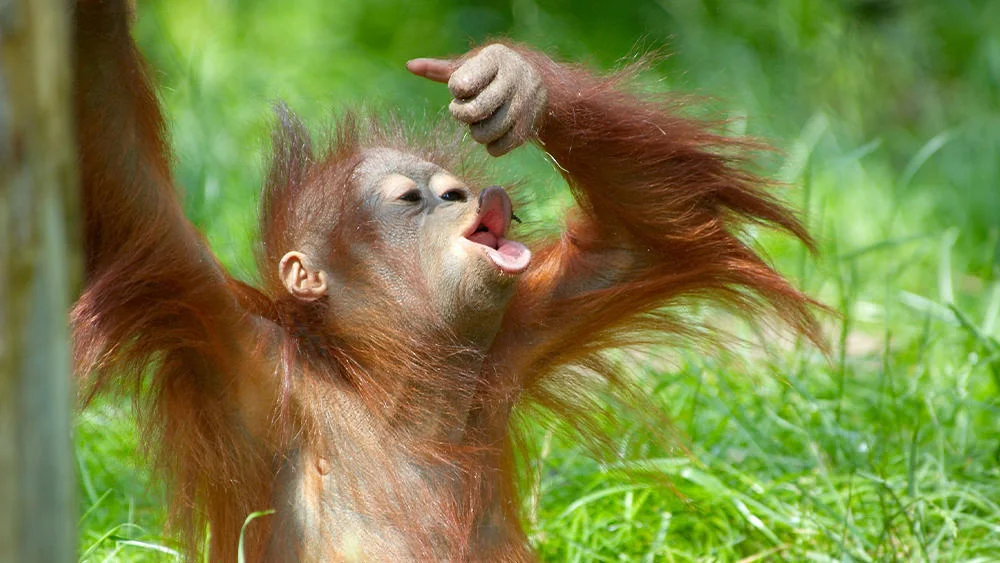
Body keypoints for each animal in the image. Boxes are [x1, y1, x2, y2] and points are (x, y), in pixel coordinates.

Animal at [72, 1, 821, 560]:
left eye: (450, 188)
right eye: (413, 199)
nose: (463, 198)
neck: (385, 376)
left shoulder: (521, 331)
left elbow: (643, 237)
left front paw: (513, 80)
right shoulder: (230, 341)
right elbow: (125, 183)